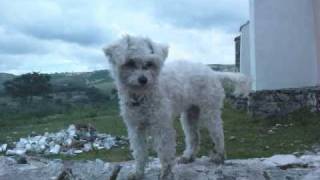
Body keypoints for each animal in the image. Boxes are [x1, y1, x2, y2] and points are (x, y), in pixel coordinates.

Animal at [102, 35, 250, 179]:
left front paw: (166, 174)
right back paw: (188, 157)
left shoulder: (161, 126)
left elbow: (164, 151)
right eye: (130, 63)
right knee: (194, 137)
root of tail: (212, 72)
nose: (143, 80)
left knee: (218, 133)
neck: (142, 96)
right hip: (189, 115)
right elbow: (139, 152)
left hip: (209, 112)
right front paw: (138, 172)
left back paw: (219, 156)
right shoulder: (135, 128)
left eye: (149, 63)